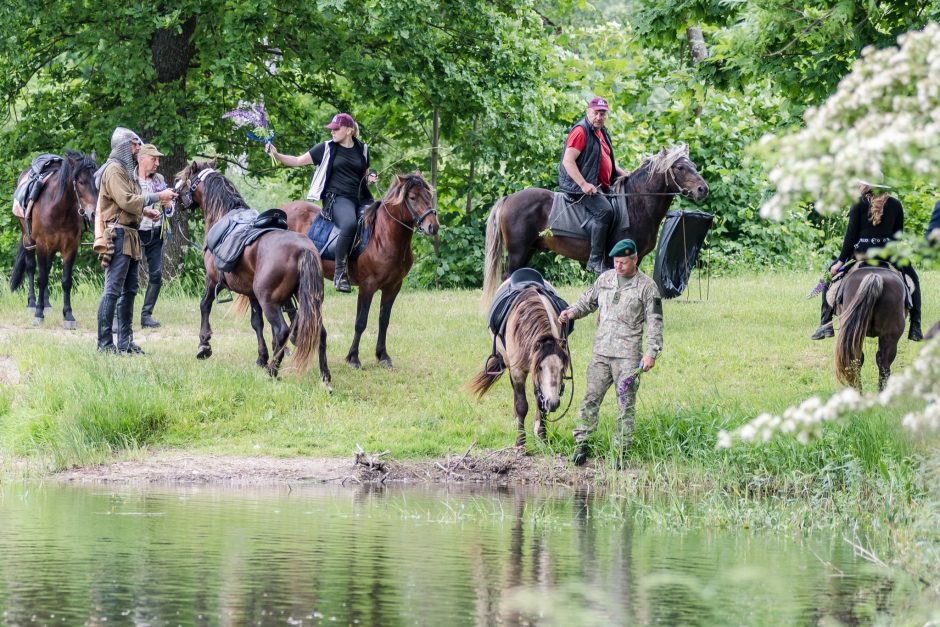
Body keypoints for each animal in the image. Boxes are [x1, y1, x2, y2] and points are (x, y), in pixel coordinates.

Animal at [9, 151, 98, 328]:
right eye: (81, 182)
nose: (93, 213)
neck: (58, 209)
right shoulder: (42, 245)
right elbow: (41, 278)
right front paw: (38, 314)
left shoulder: (70, 247)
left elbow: (66, 281)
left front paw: (68, 316)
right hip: (28, 239)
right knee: (31, 268)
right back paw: (32, 303)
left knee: (47, 268)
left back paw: (47, 303)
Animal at [174, 159, 332, 386]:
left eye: (184, 178)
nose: (175, 197)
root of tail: (304, 249)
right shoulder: (251, 294)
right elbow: (257, 323)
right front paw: (261, 358)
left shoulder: (212, 280)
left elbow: (204, 305)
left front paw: (204, 345)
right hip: (307, 300)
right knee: (319, 331)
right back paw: (325, 377)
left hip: (270, 301)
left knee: (282, 331)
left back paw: (273, 371)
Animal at [466, 288, 568, 448]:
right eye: (540, 367)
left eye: (562, 368)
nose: (553, 403)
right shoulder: (518, 371)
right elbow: (521, 405)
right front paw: (520, 442)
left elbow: (540, 403)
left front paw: (542, 437)